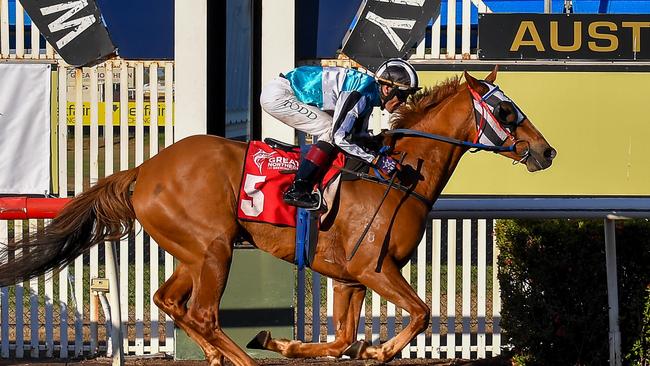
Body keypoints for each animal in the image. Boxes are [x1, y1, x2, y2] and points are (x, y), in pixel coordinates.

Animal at [0, 68, 556, 364]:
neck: (400, 177)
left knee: (169, 301)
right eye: (506, 111)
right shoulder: (374, 269)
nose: (546, 151)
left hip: (192, 252)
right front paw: (378, 351)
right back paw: (240, 357)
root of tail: (144, 168)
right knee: (201, 313)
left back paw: (221, 353)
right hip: (213, 250)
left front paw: (286, 342)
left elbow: (342, 340)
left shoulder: (351, 277)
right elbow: (418, 314)